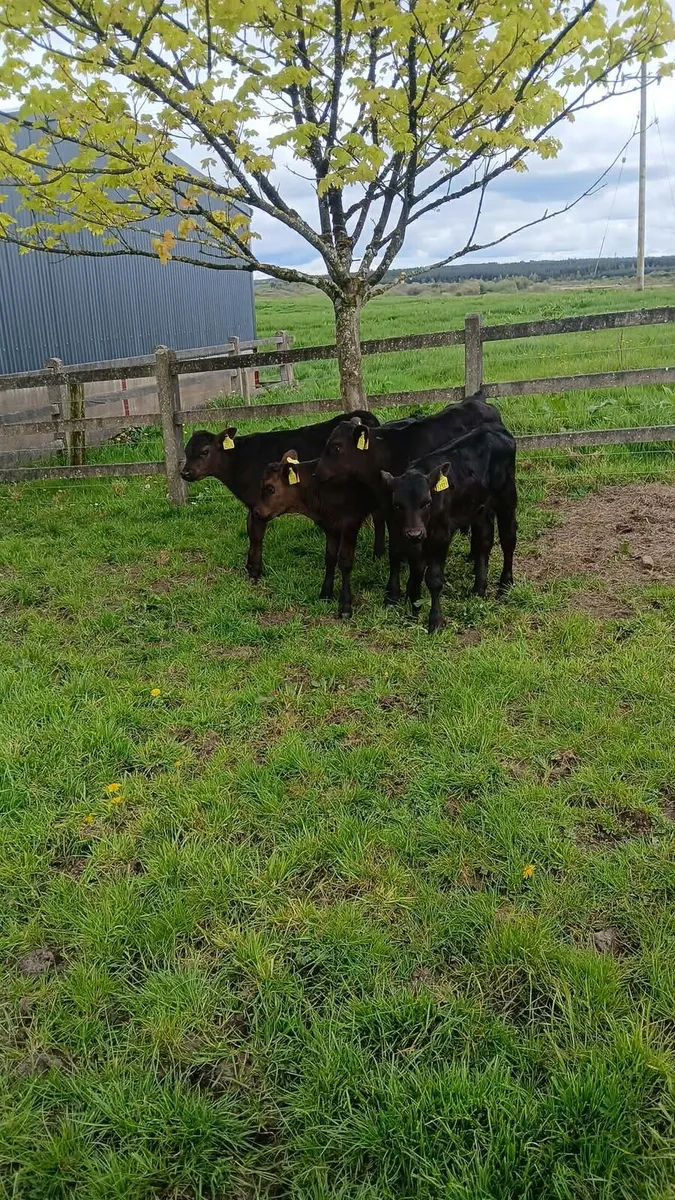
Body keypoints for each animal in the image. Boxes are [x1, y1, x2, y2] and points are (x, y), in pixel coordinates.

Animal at [180, 411, 382, 580]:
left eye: (205, 452)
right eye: (186, 452)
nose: (185, 473)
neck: (240, 461)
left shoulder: (262, 503)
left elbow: (256, 534)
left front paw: (255, 571)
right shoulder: (254, 505)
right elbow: (250, 531)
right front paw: (250, 567)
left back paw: (377, 554)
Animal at [253, 450, 380, 617]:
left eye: (270, 488)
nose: (256, 511)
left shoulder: (350, 524)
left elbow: (345, 562)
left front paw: (345, 606)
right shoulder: (330, 527)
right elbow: (330, 558)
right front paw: (325, 594)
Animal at [314, 391, 504, 604]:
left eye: (336, 447)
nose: (316, 472)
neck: (388, 453)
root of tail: (479, 400)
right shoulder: (392, 511)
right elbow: (394, 551)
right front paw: (393, 591)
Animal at [381, 424, 517, 633]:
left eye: (426, 502)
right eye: (398, 505)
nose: (415, 533)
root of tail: (495, 428)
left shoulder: (441, 536)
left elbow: (433, 578)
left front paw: (435, 621)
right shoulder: (408, 537)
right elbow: (416, 571)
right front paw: (413, 608)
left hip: (507, 500)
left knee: (508, 539)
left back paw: (505, 585)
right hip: (481, 509)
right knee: (484, 542)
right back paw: (478, 589)